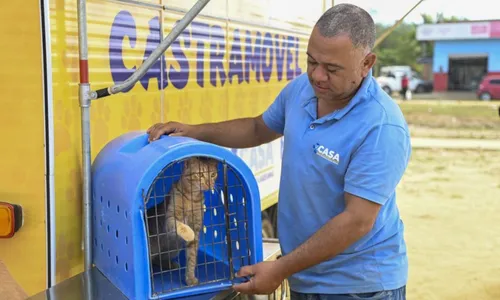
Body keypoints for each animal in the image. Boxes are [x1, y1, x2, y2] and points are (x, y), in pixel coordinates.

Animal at [147, 157, 220, 286]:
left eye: (213, 174)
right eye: (200, 174)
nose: (209, 183)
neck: (192, 197)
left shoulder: (196, 227)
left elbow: (191, 259)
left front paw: (190, 278)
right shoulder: (170, 219)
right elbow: (180, 225)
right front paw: (189, 233)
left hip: (174, 249)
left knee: (158, 259)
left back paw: (169, 264)